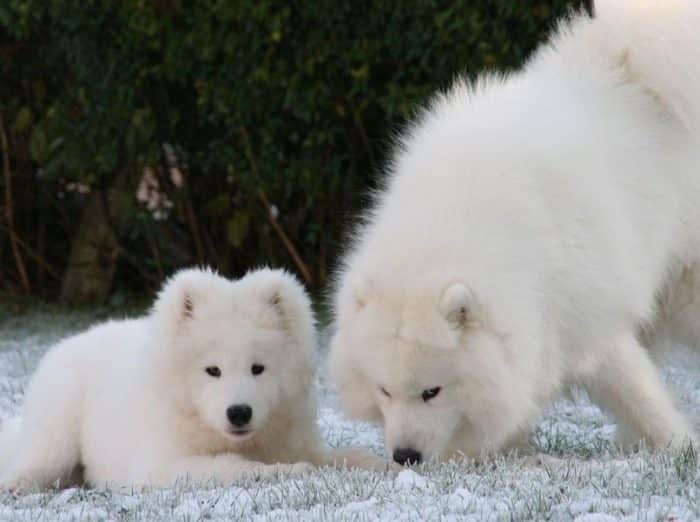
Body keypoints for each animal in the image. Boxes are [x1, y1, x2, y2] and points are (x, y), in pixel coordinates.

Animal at [0, 266, 382, 490]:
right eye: (212, 370)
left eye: (258, 368)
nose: (239, 413)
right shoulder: (159, 464)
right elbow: (232, 466)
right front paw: (287, 472)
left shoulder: (295, 439)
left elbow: (342, 456)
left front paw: (377, 465)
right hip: (58, 428)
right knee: (36, 461)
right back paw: (18, 485)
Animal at [328, 0, 700, 464]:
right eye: (384, 391)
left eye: (432, 392)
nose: (405, 457)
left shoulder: (587, 324)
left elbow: (638, 395)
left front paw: (680, 446)